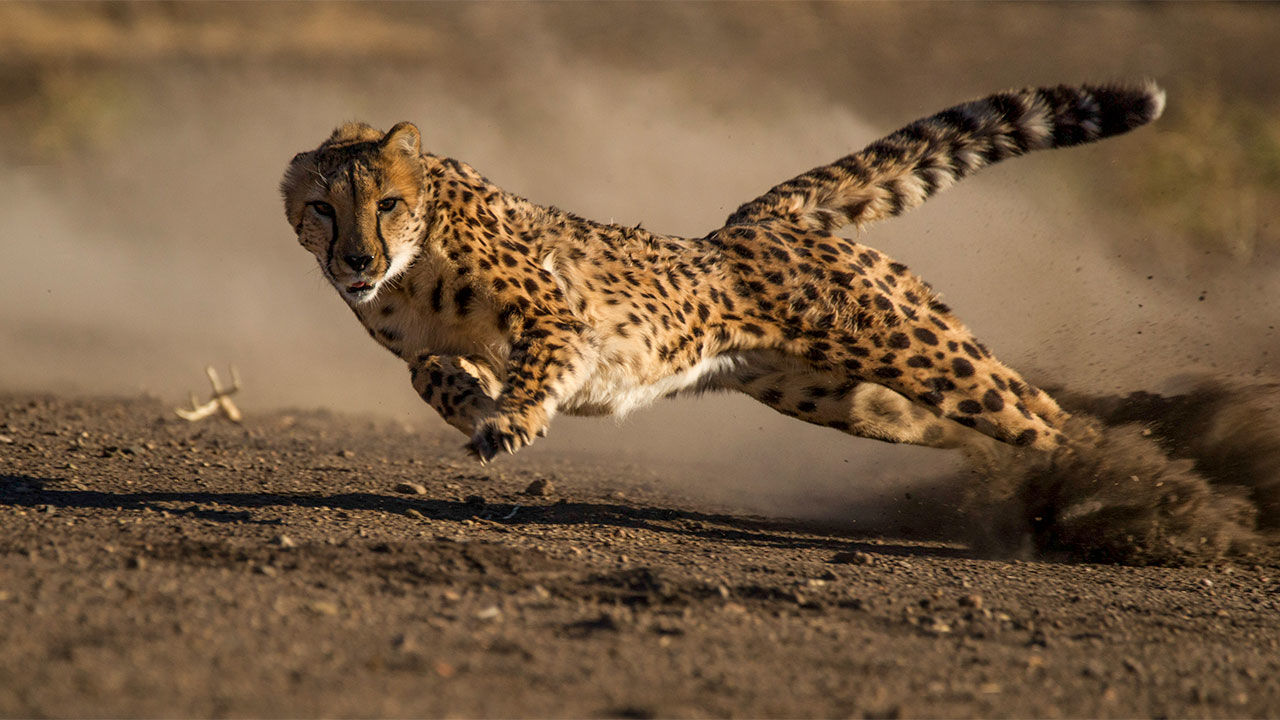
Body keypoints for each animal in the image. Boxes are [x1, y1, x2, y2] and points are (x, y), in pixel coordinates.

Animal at [280, 82, 1165, 464]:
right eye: (322, 208)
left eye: (387, 202)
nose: (357, 259)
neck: (411, 268)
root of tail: (758, 219)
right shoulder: (432, 343)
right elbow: (429, 372)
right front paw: (472, 405)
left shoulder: (559, 321)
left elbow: (532, 368)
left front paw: (509, 420)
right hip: (840, 396)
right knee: (998, 419)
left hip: (911, 348)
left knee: (1037, 413)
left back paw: (1128, 480)